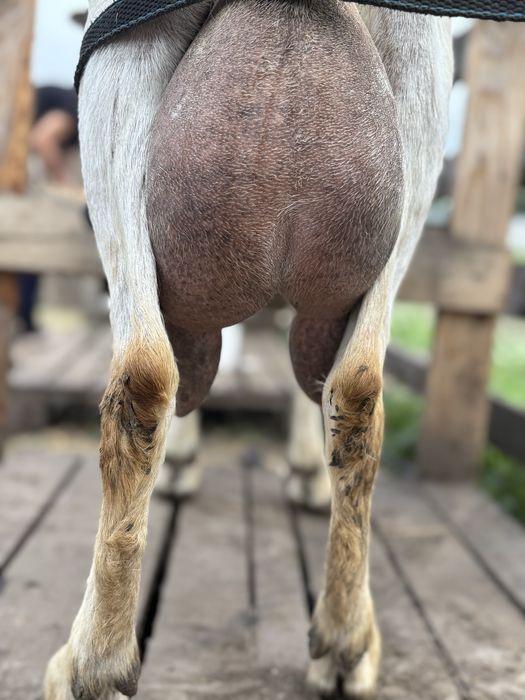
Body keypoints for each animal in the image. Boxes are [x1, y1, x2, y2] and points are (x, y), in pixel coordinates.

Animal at [44, 1, 452, 697]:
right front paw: (305, 473)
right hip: (419, 116)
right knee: (357, 385)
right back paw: (344, 640)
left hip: (113, 77)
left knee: (147, 371)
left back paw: (92, 662)